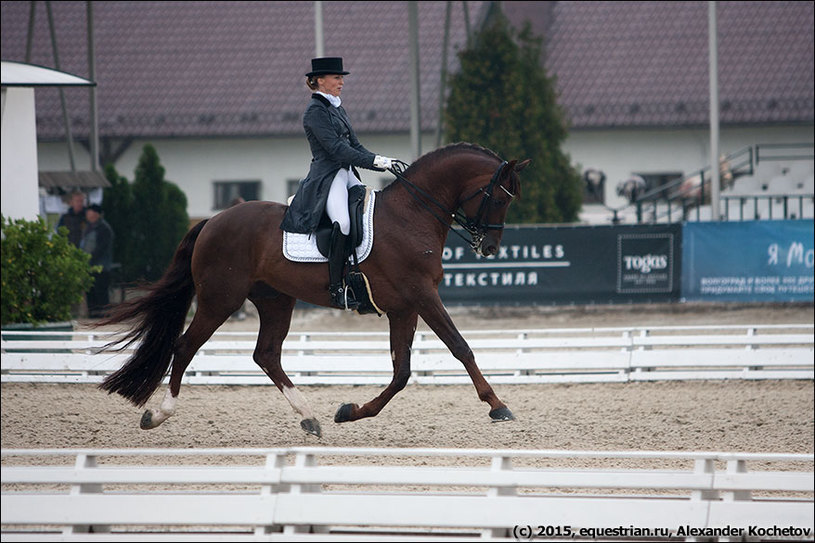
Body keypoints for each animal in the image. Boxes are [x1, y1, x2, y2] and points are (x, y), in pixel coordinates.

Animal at [99, 141, 532, 438]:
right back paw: (158, 414)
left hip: (275, 300)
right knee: (186, 346)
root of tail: (212, 220)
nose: (489, 248)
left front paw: (351, 411)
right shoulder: (422, 295)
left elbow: (402, 372)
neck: (412, 215)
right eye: (498, 198)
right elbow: (460, 347)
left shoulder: (404, 307)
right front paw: (498, 406)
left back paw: (309, 417)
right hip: (220, 300)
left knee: (266, 354)